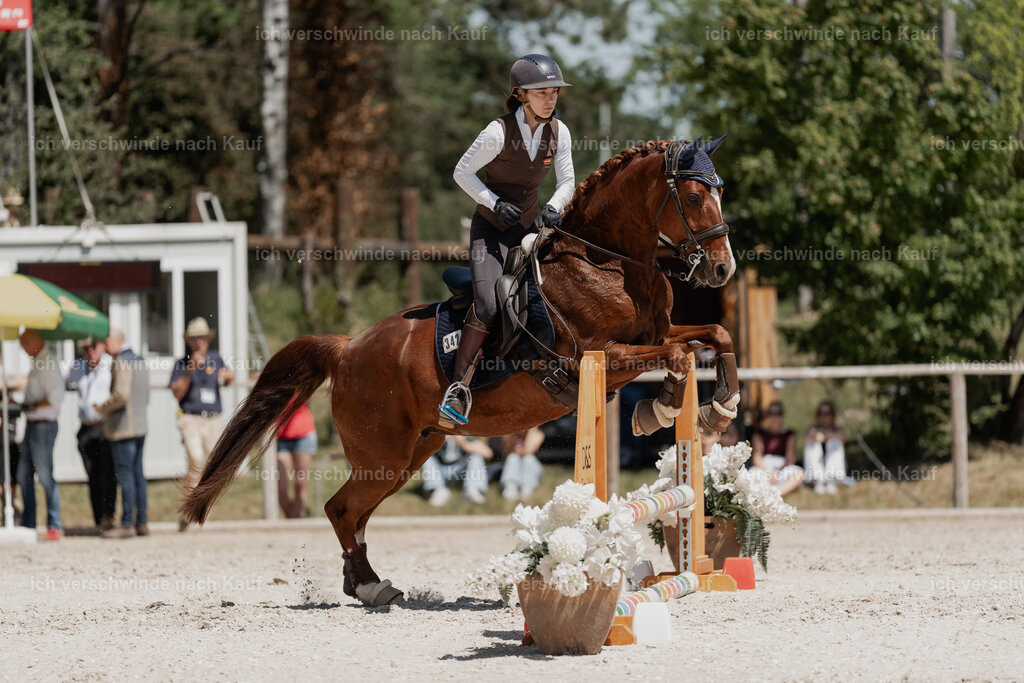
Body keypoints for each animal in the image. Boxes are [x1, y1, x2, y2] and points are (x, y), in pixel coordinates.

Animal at [180, 137, 742, 607]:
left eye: (719, 192)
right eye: (695, 197)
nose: (722, 269)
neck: (608, 263)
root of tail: (347, 347)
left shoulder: (657, 335)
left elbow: (715, 336)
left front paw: (719, 408)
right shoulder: (599, 355)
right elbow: (677, 357)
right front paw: (659, 409)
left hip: (410, 454)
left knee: (356, 513)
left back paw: (361, 582)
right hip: (384, 455)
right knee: (341, 509)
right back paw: (370, 586)